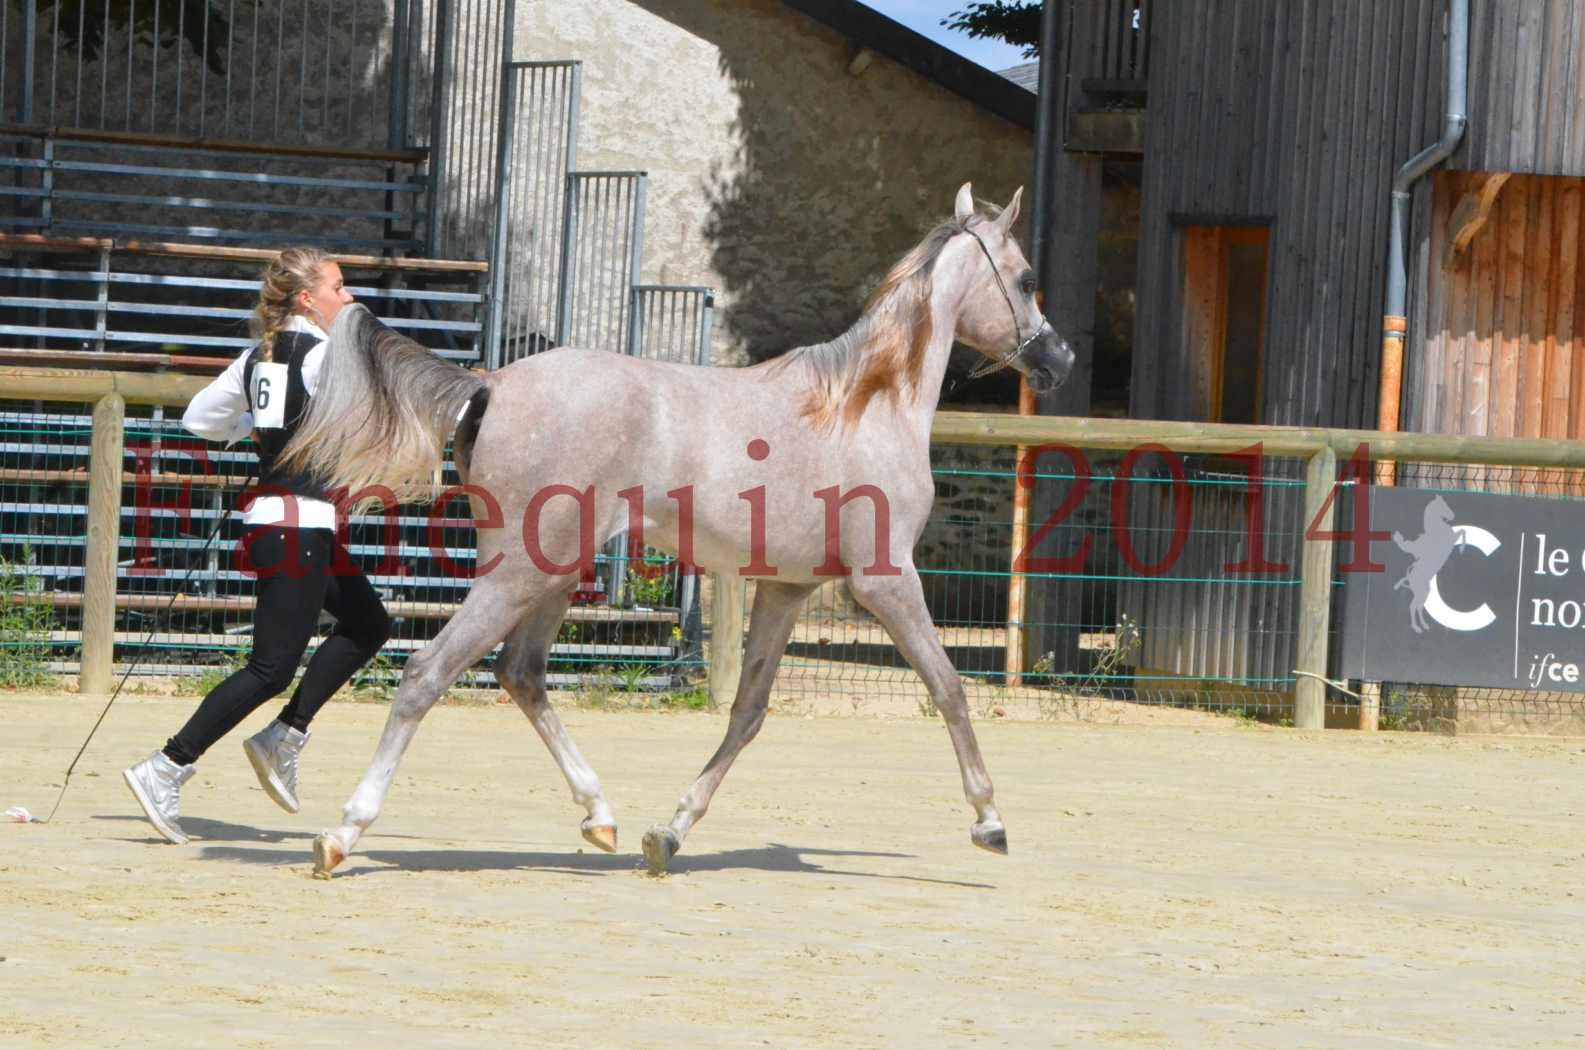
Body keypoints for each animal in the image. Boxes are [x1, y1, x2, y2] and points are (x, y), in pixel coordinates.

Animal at [282, 184, 1077, 875]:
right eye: (1028, 277)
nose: (1059, 359)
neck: (865, 406)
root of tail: (491, 384)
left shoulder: (786, 590)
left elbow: (748, 713)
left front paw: (668, 834)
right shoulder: (886, 581)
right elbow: (948, 687)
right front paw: (989, 822)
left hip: (552, 573)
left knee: (521, 674)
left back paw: (600, 816)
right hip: (520, 575)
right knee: (428, 673)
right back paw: (342, 835)